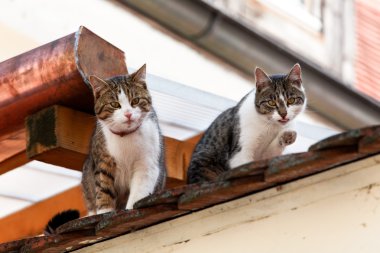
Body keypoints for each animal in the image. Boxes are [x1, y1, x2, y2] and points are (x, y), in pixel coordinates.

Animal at [81, 64, 166, 214]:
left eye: (135, 101)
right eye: (114, 104)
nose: (128, 114)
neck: (126, 137)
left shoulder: (147, 164)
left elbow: (138, 193)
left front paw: (131, 208)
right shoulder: (104, 162)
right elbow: (104, 191)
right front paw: (105, 212)